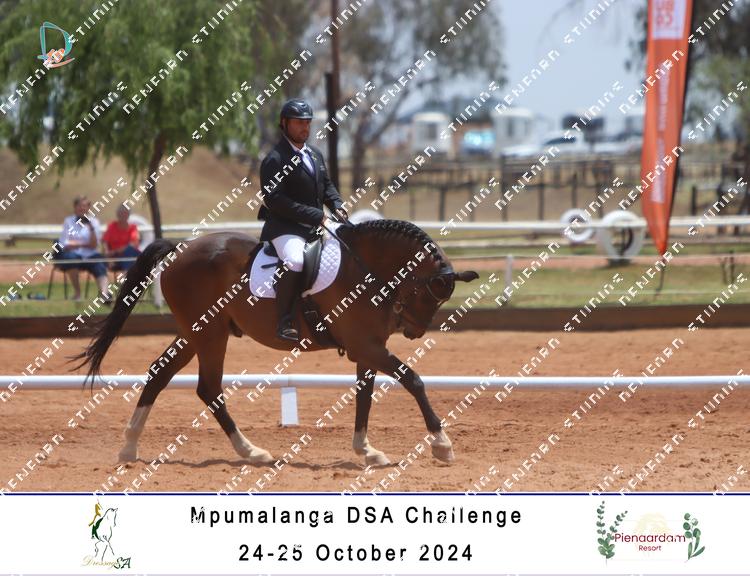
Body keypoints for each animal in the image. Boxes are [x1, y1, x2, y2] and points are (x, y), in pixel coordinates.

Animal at [73, 219, 478, 467]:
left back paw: (130, 446)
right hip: (208, 333)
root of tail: (180, 249)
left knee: (163, 375)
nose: (414, 331)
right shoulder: (367, 346)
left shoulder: (368, 348)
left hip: (196, 333)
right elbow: (414, 381)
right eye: (430, 294)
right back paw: (250, 451)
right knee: (208, 387)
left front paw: (366, 450)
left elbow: (364, 395)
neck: (365, 269)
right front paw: (442, 445)